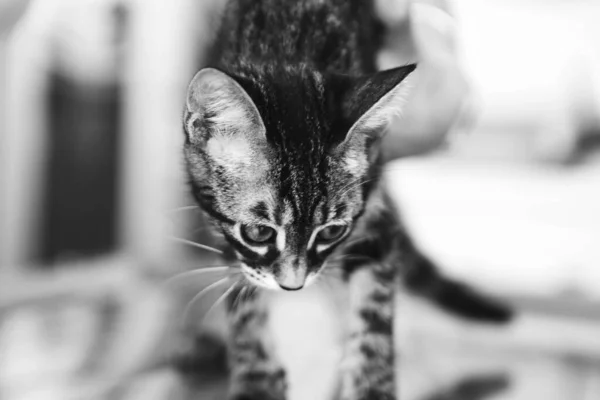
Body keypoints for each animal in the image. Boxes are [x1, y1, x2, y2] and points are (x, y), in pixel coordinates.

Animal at [182, 0, 510, 400]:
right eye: (258, 233)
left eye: (330, 232)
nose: (293, 286)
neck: (290, 43)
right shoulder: (221, 230)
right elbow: (240, 291)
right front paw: (255, 377)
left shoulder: (374, 209)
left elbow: (374, 313)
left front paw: (371, 384)